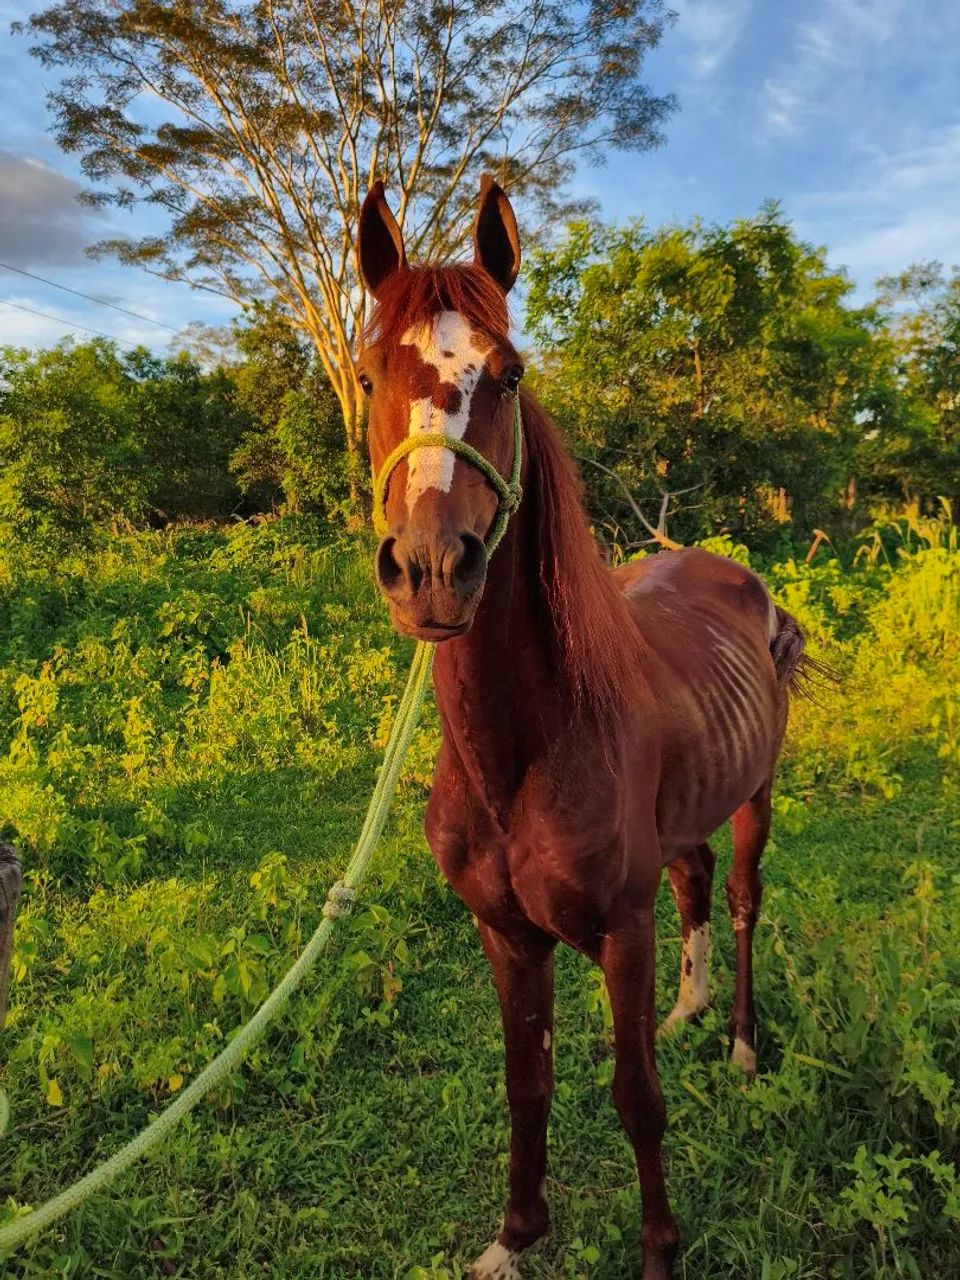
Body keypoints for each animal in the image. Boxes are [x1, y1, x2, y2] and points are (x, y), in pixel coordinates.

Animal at [355, 175, 818, 1280]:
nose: (431, 569)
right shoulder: (506, 933)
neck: (522, 754)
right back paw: (691, 1008)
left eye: (510, 374)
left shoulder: (619, 929)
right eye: (367, 371)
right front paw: (514, 1237)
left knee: (741, 898)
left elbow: (636, 1097)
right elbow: (527, 1084)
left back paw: (740, 1039)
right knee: (696, 881)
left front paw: (658, 1250)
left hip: (755, 795)